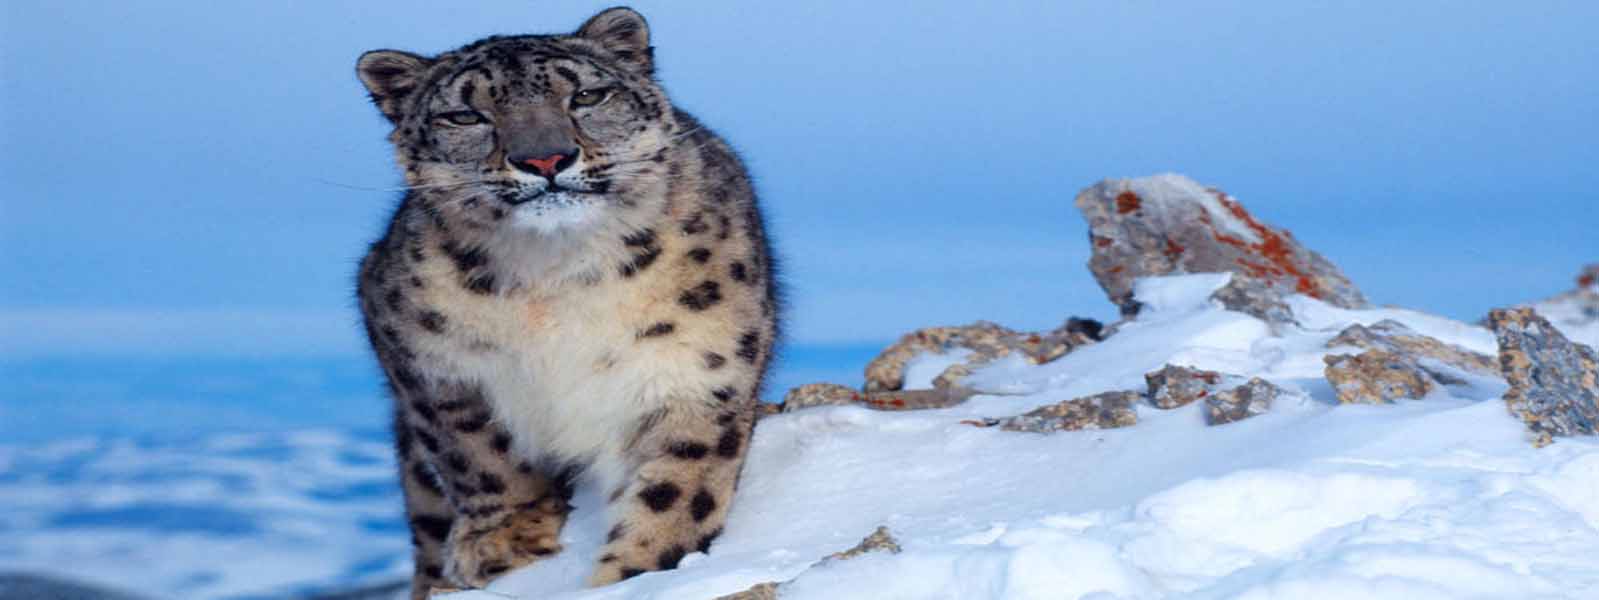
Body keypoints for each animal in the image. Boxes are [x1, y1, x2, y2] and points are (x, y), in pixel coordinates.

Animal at [353, 8, 777, 598]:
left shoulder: (699, 373)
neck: (554, 276)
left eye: (587, 95)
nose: (544, 157)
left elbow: (675, 498)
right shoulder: (421, 356)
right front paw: (505, 539)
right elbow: (474, 451)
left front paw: (631, 574)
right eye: (465, 115)